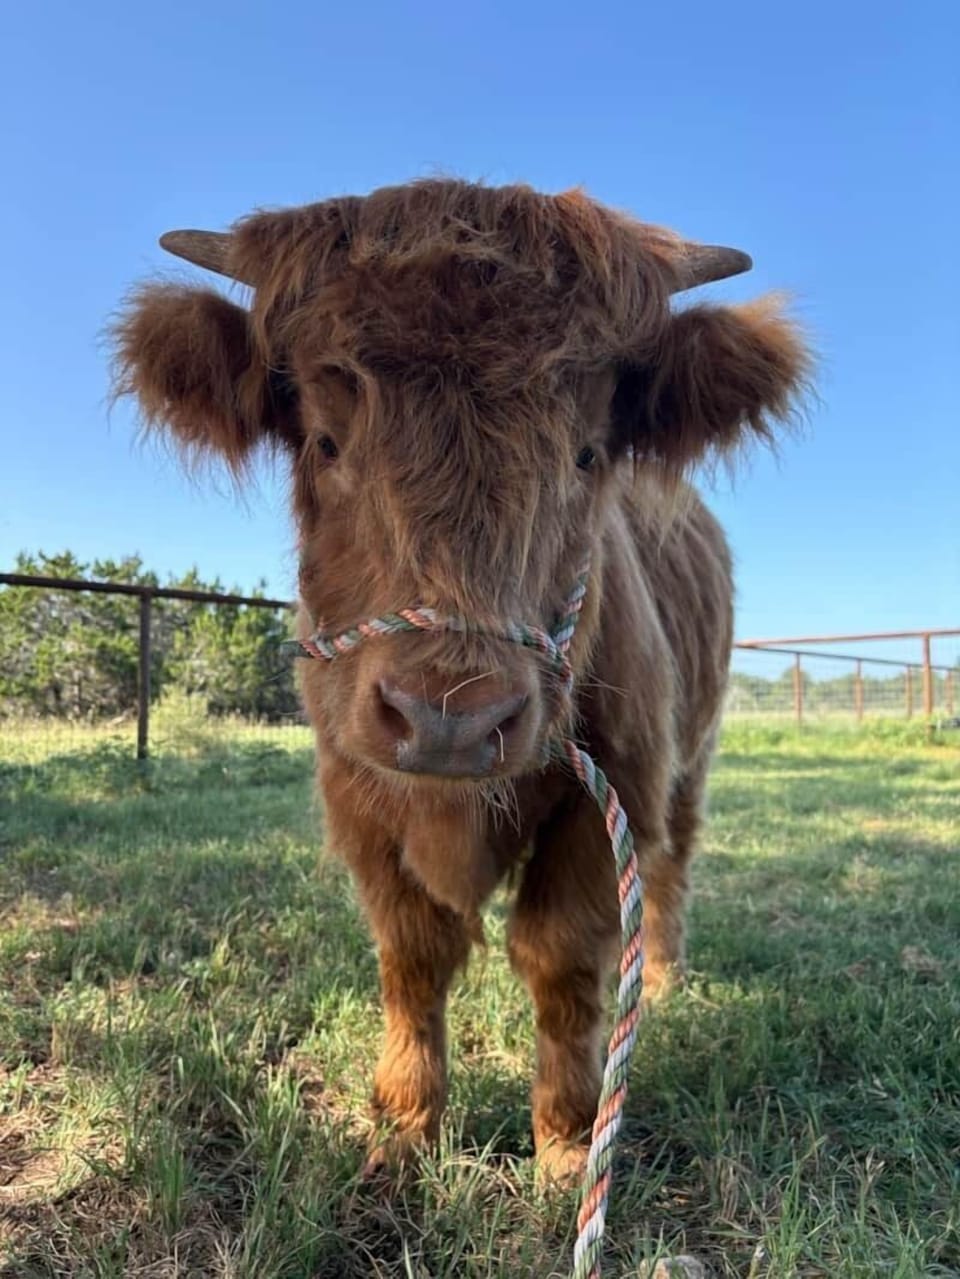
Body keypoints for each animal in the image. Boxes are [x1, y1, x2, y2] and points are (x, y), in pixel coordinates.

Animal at [113, 179, 808, 1183]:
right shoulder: (359, 796)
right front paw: (404, 1127)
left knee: (673, 861)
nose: (450, 718)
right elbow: (414, 953)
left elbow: (562, 958)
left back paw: (668, 974)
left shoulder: (612, 792)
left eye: (586, 454)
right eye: (326, 441)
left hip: (694, 753)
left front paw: (567, 1142)